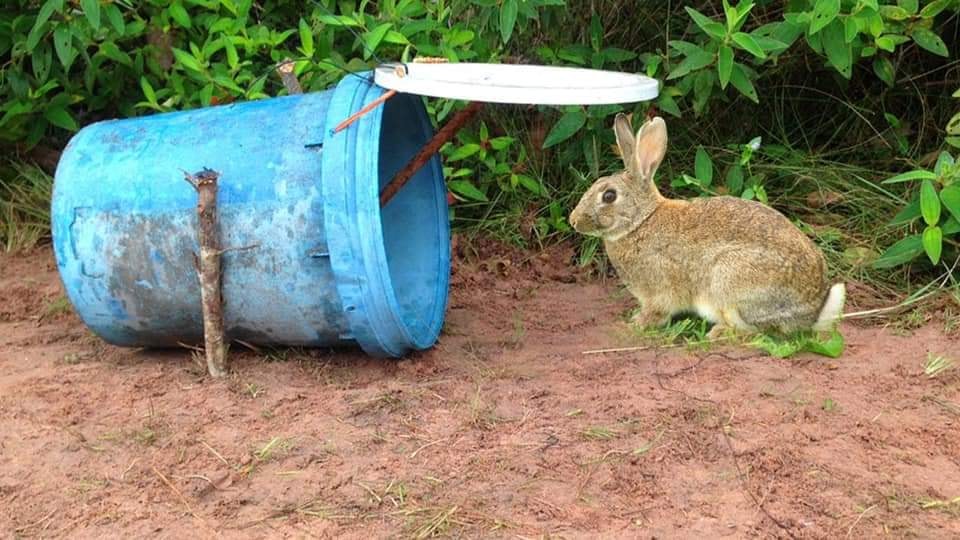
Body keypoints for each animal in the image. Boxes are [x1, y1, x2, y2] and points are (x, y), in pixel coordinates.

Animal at [568, 114, 844, 338]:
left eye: (609, 196)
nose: (573, 220)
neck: (641, 221)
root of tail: (812, 309)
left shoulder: (660, 288)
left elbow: (658, 311)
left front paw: (636, 324)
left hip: (729, 281)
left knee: (754, 330)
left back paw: (717, 333)